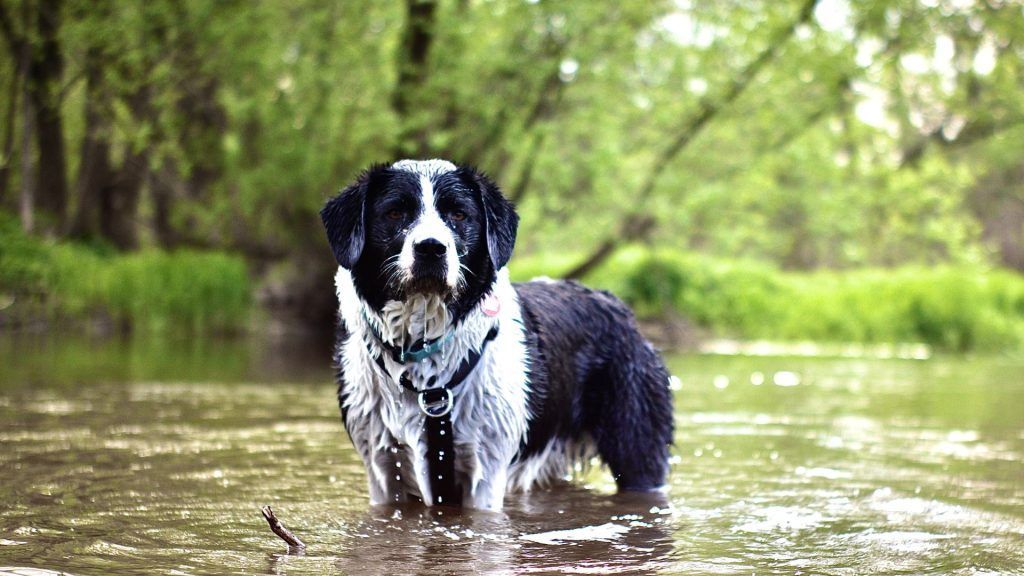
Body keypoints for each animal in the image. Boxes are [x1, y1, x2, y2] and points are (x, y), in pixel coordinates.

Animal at [319, 156, 671, 506]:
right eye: (394, 213)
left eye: (459, 214)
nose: (431, 248)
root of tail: (617, 305)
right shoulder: (382, 469)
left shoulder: (486, 471)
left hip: (637, 449)